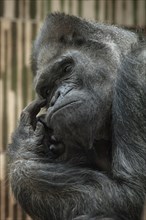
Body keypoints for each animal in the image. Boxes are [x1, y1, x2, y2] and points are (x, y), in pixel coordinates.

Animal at [7, 12, 146, 219]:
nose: (56, 96)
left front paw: (22, 152)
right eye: (47, 91)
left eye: (66, 69)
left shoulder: (136, 74)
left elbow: (130, 192)